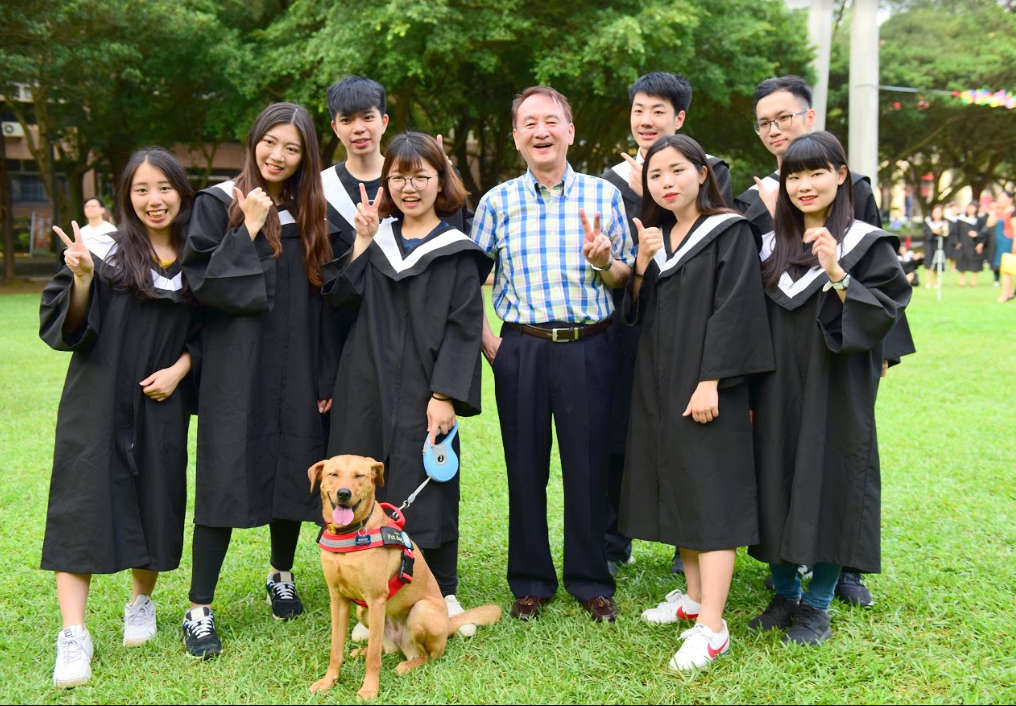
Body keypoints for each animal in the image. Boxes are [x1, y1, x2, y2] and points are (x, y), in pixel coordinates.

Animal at [306, 455, 501, 698]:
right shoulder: (338, 599)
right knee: (384, 648)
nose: (343, 494)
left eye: (359, 476)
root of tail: (447, 623)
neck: (351, 534)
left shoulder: (376, 599)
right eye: (333, 474)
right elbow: (336, 650)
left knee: (428, 656)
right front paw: (328, 682)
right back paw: (363, 651)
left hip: (420, 612)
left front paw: (369, 689)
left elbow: (374, 660)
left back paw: (408, 665)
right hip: (364, 612)